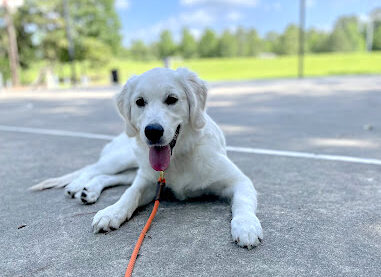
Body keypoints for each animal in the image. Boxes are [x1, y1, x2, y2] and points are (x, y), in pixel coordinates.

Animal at [31, 67, 262, 248]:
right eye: (140, 102)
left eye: (172, 99)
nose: (152, 131)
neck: (178, 157)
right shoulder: (148, 182)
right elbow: (130, 194)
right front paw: (112, 212)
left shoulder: (238, 180)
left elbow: (242, 202)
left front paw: (246, 226)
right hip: (125, 159)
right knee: (93, 169)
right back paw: (77, 186)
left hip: (134, 167)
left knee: (107, 177)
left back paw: (89, 191)